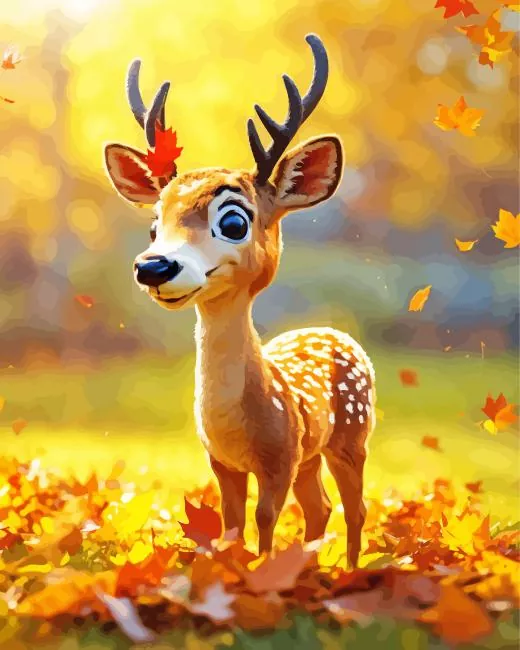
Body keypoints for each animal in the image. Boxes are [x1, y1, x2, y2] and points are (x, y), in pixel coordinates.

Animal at [104, 34, 376, 567]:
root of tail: (339, 334)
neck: (240, 422)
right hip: (312, 455)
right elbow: (232, 523)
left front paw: (263, 571)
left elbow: (265, 520)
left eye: (233, 221)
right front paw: (236, 570)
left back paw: (350, 572)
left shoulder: (280, 457)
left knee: (354, 509)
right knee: (321, 508)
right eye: (154, 225)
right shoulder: (222, 461)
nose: (153, 267)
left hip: (351, 436)